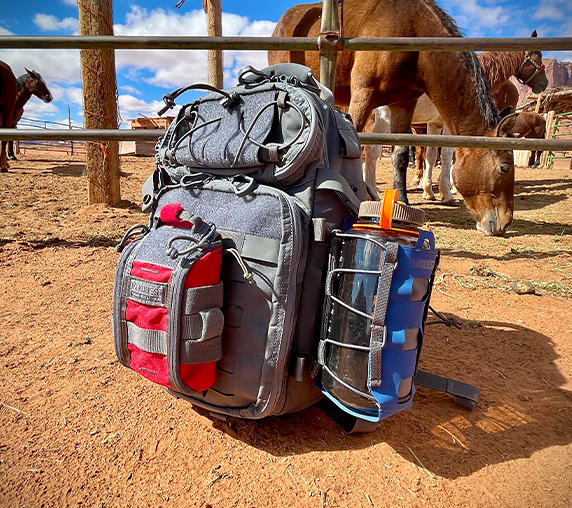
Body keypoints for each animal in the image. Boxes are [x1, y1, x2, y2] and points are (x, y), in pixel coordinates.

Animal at [270, 0, 524, 234]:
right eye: (504, 168)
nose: (504, 224)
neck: (411, 29)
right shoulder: (363, 95)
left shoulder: (403, 105)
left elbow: (401, 155)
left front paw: (401, 201)